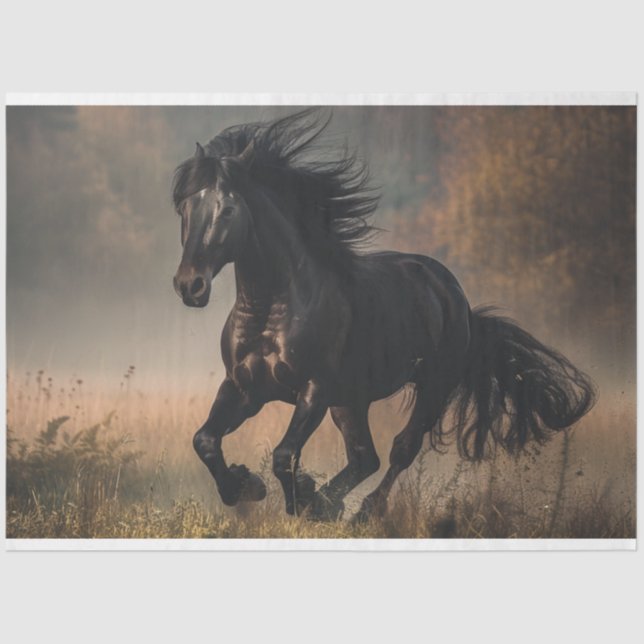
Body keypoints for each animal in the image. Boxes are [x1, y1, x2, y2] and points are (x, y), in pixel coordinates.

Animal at [172, 109, 596, 522]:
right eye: (185, 208)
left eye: (227, 209)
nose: (189, 285)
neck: (271, 308)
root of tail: (457, 298)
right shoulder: (244, 388)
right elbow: (204, 440)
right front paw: (245, 485)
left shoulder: (314, 390)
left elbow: (284, 455)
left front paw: (298, 500)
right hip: (351, 401)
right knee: (365, 458)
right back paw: (328, 501)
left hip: (432, 386)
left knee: (400, 450)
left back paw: (360, 511)